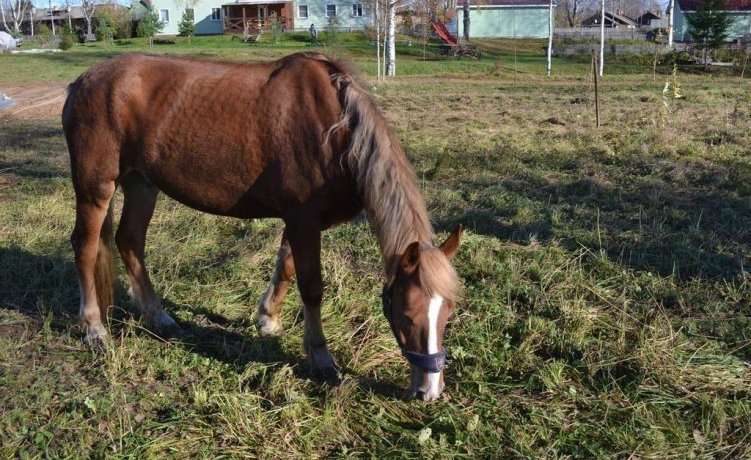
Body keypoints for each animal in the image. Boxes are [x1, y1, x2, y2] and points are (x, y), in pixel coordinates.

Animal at [64, 53, 464, 398]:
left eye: (448, 313)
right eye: (407, 315)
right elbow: (312, 287)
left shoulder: (299, 219)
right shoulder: (304, 220)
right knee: (85, 246)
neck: (335, 129)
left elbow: (285, 267)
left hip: (141, 183)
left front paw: (268, 319)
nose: (429, 391)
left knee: (130, 241)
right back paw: (94, 328)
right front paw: (320, 357)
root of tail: (81, 82)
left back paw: (158, 316)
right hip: (96, 188)